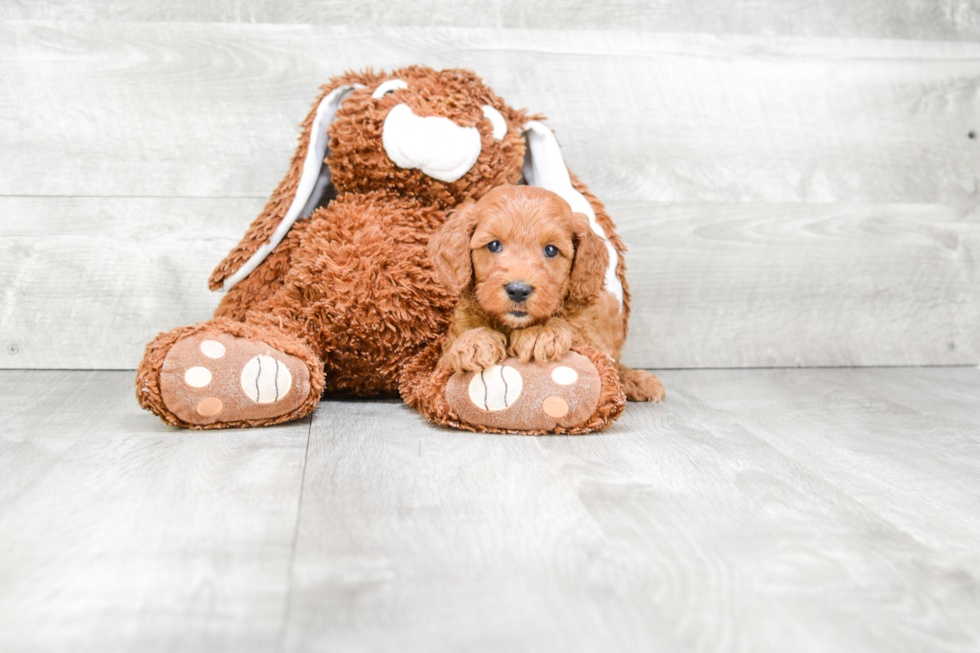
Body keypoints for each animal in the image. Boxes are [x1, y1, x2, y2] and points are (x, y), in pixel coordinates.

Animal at [428, 181, 668, 400]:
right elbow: (451, 351)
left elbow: (578, 335)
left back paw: (636, 379)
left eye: (551, 250)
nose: (518, 290)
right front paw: (473, 342)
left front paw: (541, 331)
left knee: (616, 365)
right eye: (494, 245)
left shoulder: (593, 335)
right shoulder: (441, 362)